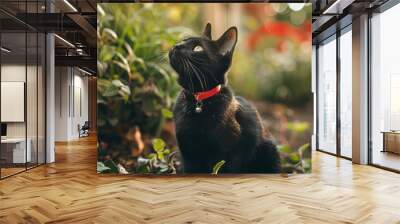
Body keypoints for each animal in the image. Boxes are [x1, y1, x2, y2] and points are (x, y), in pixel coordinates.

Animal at [169, 23, 282, 173]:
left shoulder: (229, 156)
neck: (197, 99)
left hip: (270, 150)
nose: (176, 45)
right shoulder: (187, 154)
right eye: (183, 40)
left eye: (198, 48)